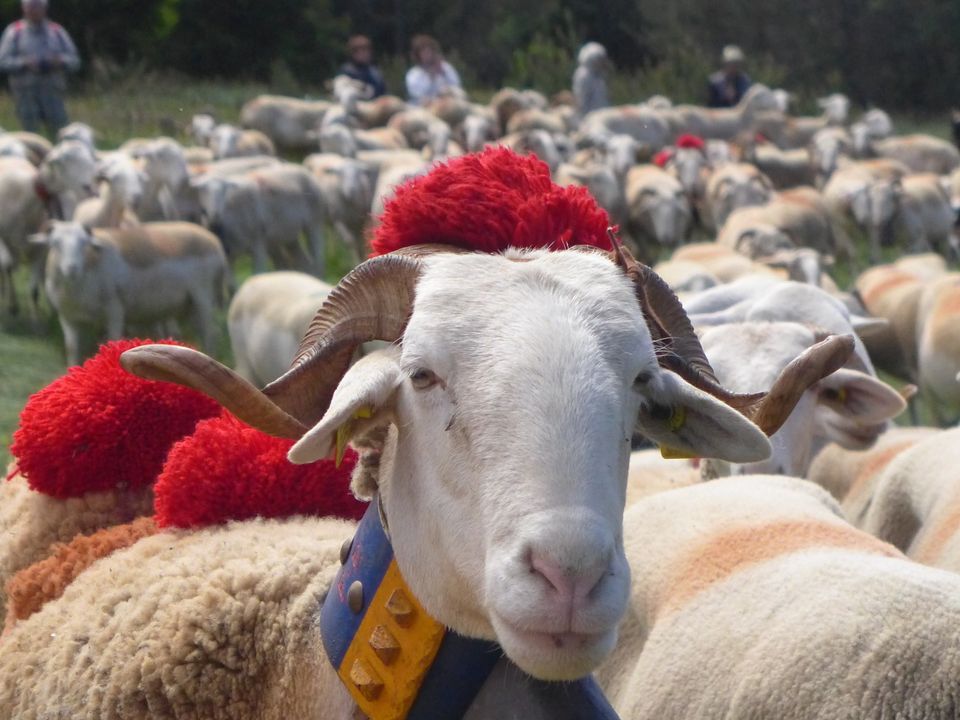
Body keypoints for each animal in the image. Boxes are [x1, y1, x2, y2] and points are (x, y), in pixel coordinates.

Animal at [191, 163, 330, 276]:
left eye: (225, 189)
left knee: (318, 262)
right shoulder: (228, 257)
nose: (215, 214)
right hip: (288, 236)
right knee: (304, 263)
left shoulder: (258, 246)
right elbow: (232, 289)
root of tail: (299, 167)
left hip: (314, 223)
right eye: (202, 189)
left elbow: (257, 275)